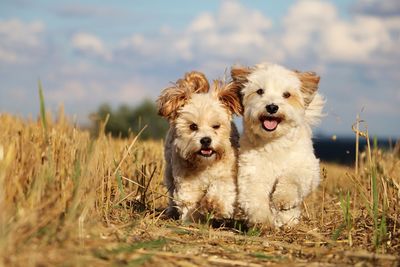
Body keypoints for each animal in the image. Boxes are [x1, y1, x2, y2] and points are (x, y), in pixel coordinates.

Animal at [158, 71, 242, 224]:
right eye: (193, 126)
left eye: (216, 126)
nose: (206, 140)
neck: (205, 164)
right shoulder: (186, 180)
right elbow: (188, 199)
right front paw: (192, 219)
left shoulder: (228, 173)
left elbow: (222, 188)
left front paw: (213, 204)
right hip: (169, 170)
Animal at [231, 62, 324, 228]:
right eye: (260, 91)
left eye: (286, 94)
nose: (272, 107)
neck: (274, 142)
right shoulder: (251, 172)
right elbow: (254, 197)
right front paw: (262, 220)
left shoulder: (305, 167)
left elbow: (292, 179)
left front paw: (284, 198)